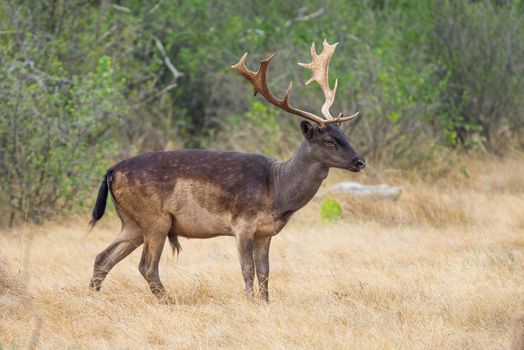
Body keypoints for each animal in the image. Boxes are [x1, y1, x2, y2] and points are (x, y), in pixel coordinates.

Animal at [88, 39, 364, 302]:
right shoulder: (242, 223)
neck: (276, 189)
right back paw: (170, 301)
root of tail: (111, 171)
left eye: (345, 135)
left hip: (131, 222)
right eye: (329, 141)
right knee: (146, 266)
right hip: (155, 218)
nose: (360, 161)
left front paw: (265, 304)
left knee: (103, 258)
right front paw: (250, 303)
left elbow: (265, 271)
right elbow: (247, 270)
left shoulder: (266, 232)